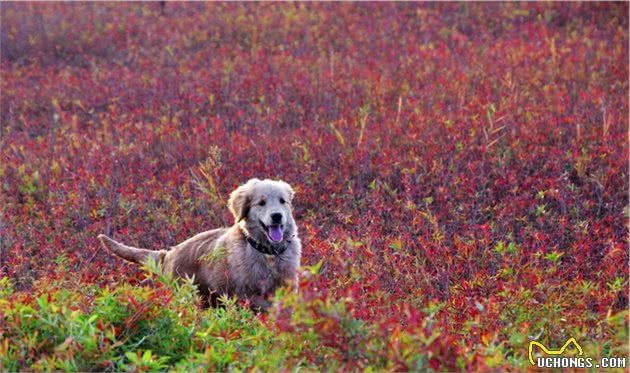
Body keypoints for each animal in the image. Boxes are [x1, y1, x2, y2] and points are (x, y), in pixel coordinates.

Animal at [99, 177, 304, 308]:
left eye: (282, 201)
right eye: (261, 203)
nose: (277, 216)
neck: (268, 253)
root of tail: (168, 253)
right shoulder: (247, 294)